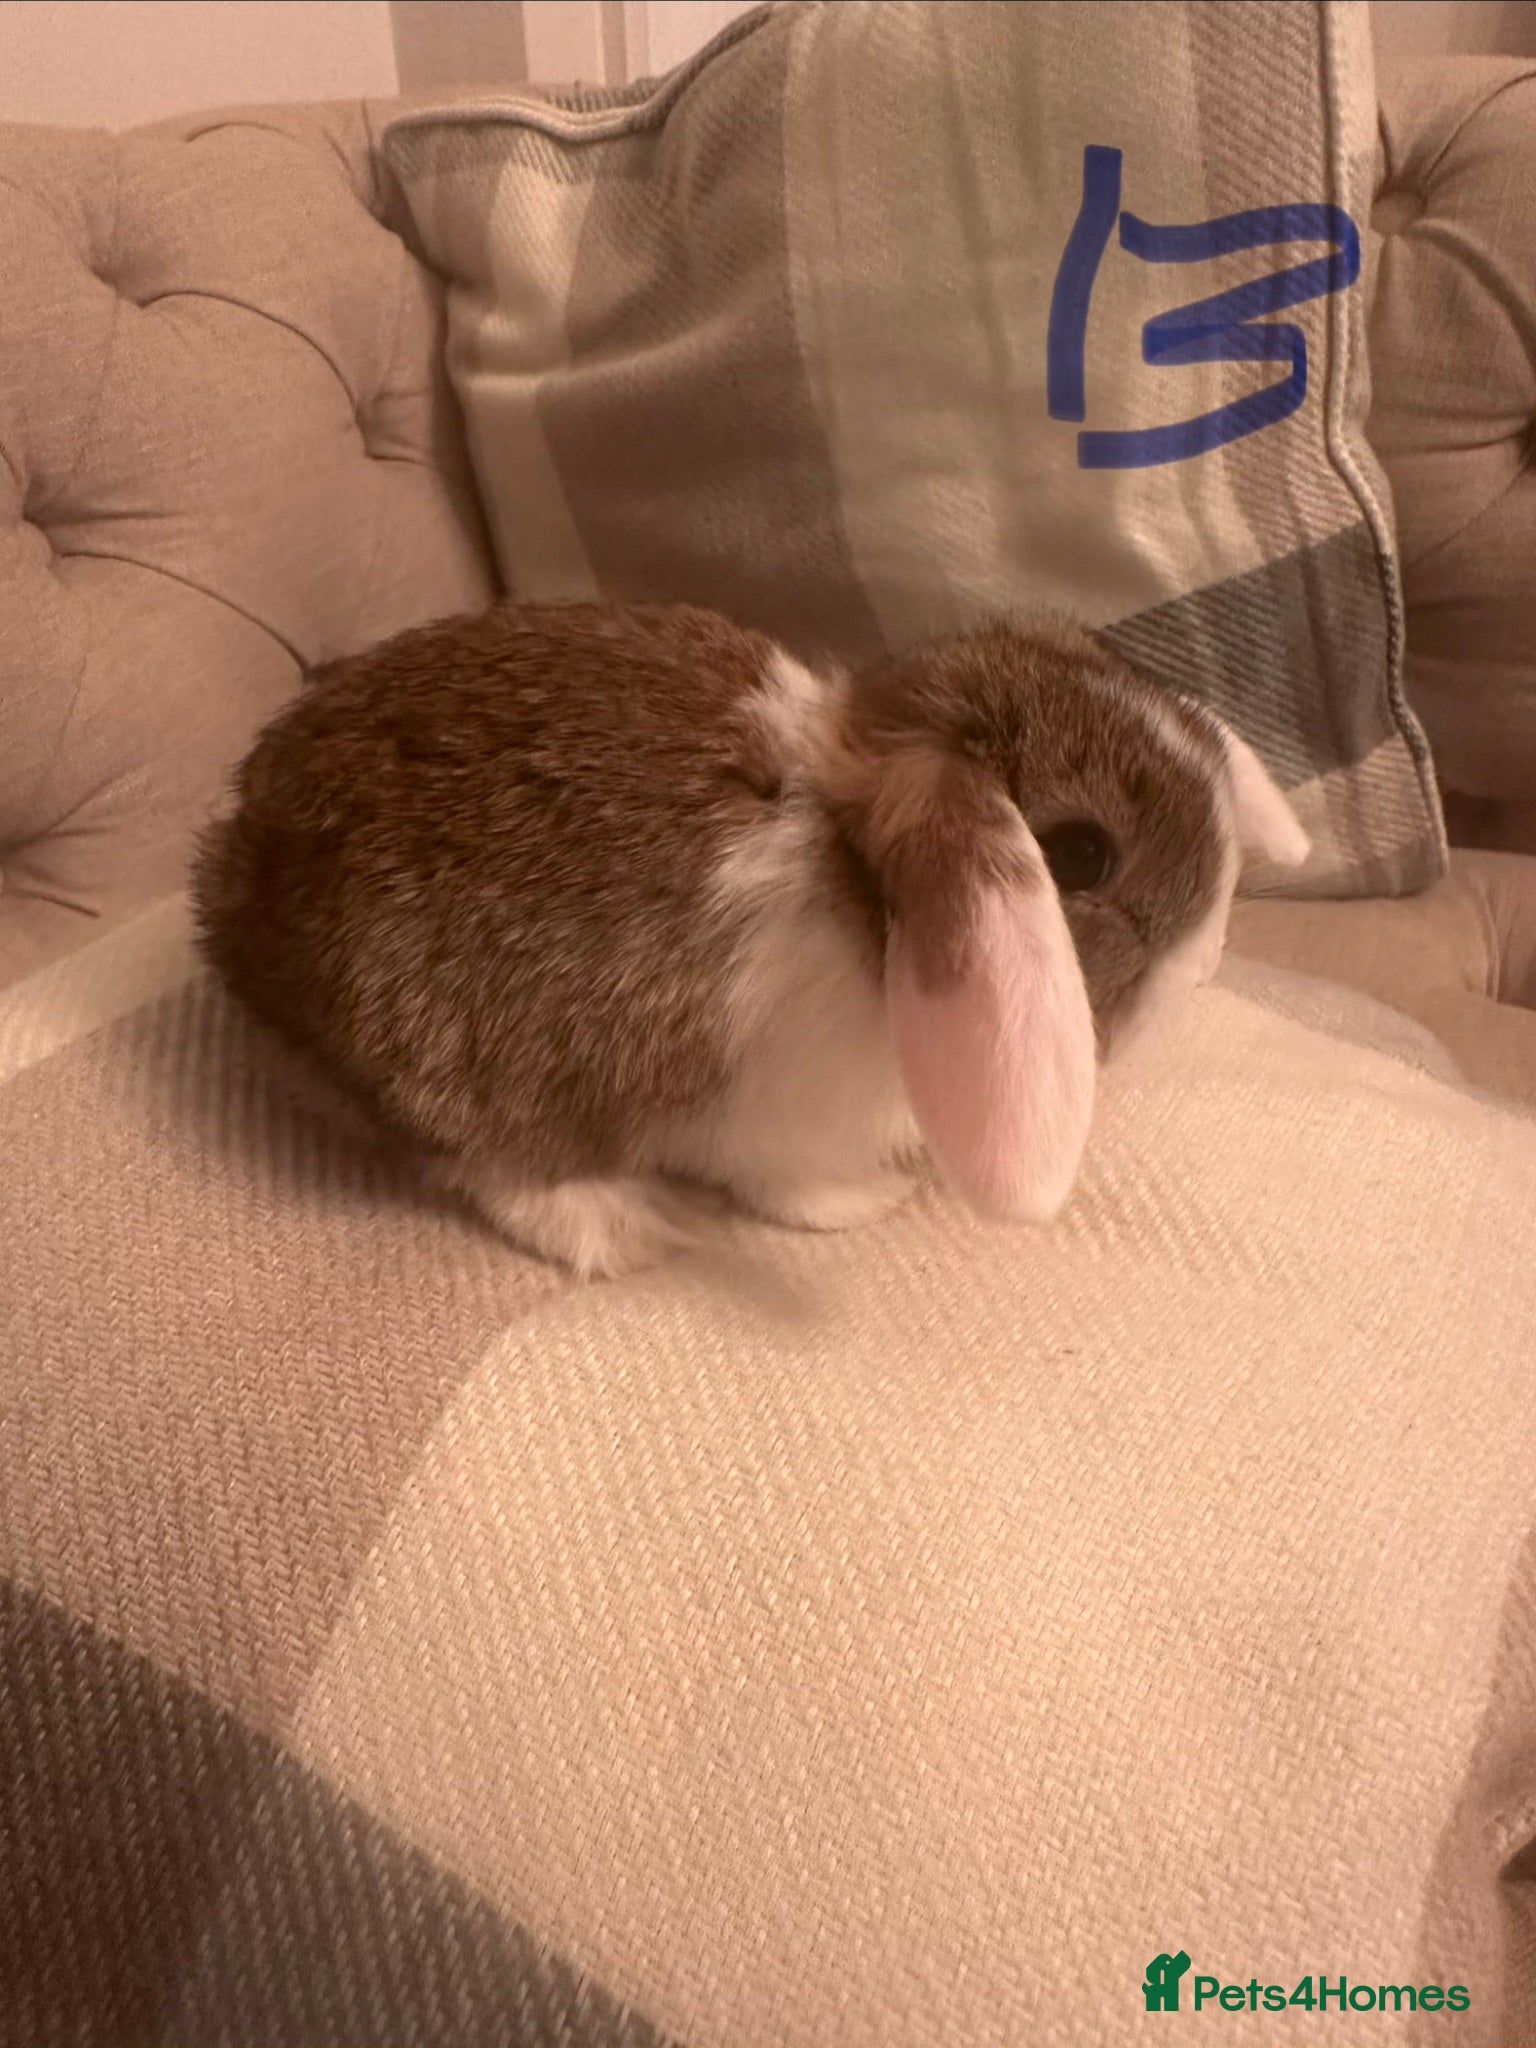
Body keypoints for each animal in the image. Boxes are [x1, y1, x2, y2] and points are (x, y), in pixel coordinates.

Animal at [191, 600, 1309, 1279]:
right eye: (1078, 855)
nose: (1207, 960)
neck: (864, 894)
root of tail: (230, 899)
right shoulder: (776, 1125)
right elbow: (799, 1194)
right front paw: (874, 1203)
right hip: (459, 1059)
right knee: (499, 1168)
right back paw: (632, 1225)